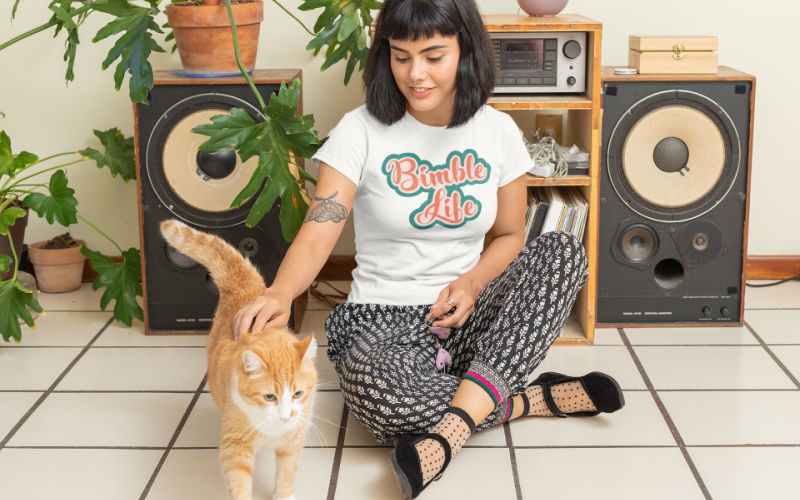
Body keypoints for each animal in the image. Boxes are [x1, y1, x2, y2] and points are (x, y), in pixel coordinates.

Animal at [159, 220, 316, 500]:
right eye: (269, 397)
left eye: (298, 393)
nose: (286, 416)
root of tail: (247, 291)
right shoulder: (236, 445)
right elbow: (239, 481)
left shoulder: (293, 440)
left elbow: (286, 474)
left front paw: (284, 494)